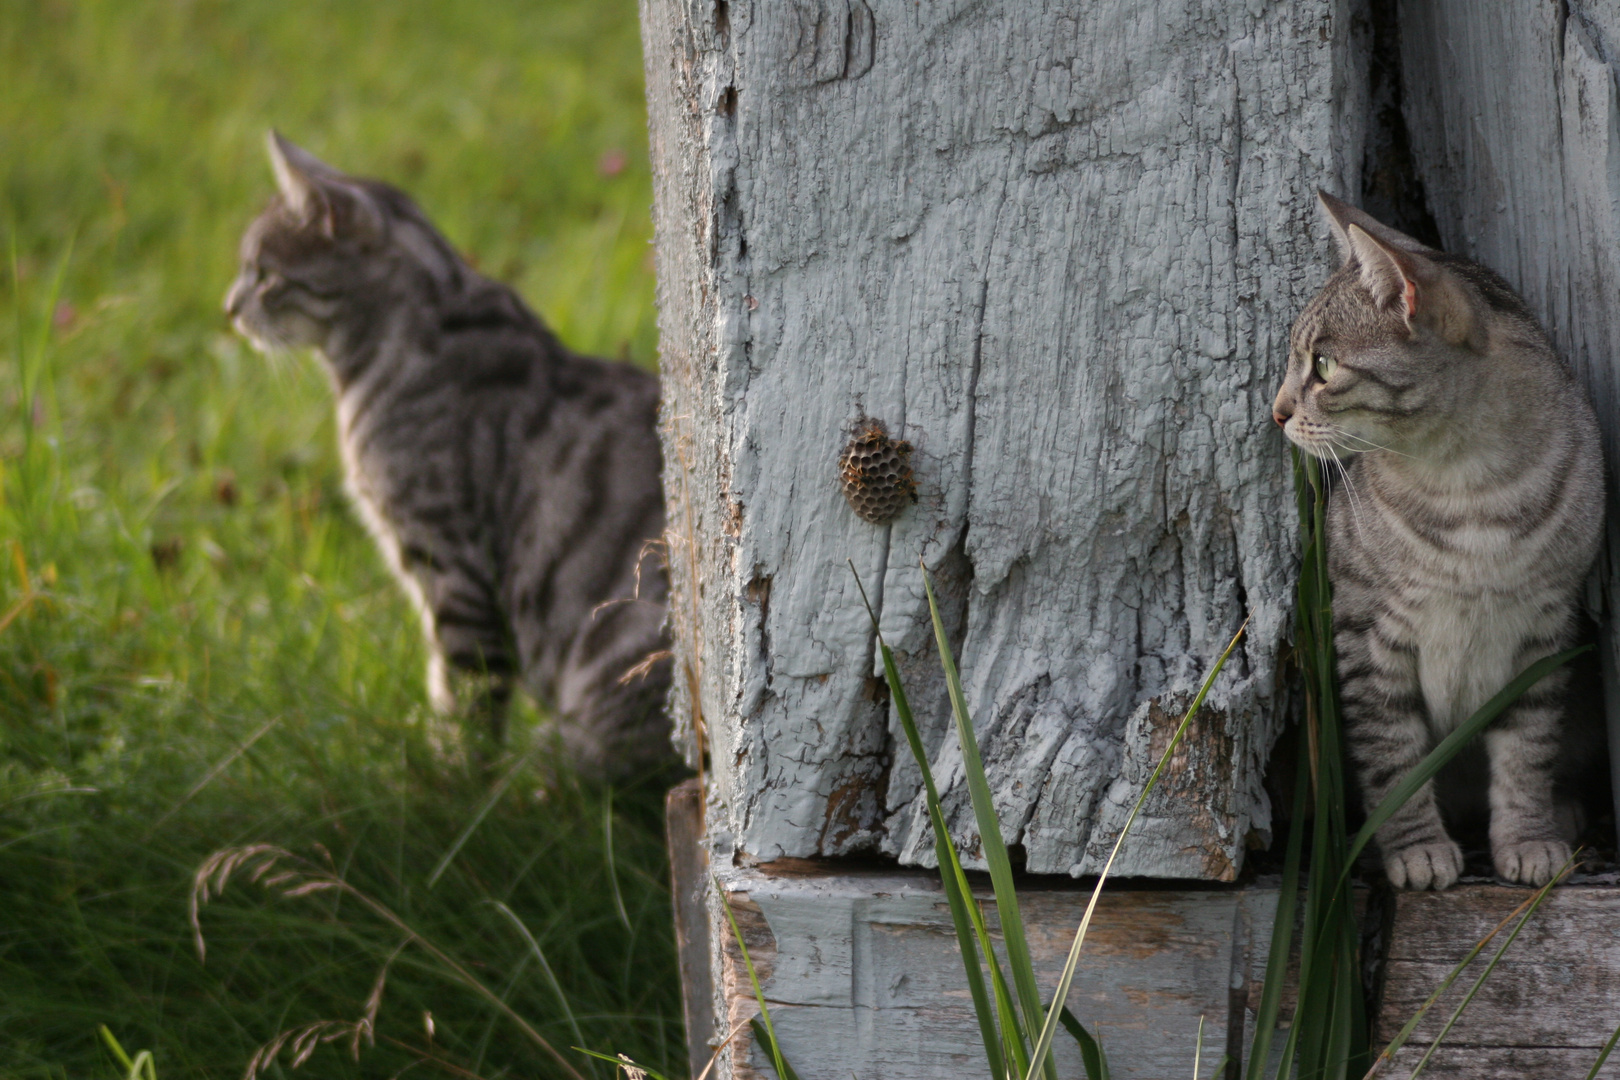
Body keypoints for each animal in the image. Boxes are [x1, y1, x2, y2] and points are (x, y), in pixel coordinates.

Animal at [225, 132, 667, 777]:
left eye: (263, 273)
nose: (230, 309)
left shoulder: (451, 567)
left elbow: (462, 694)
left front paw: (451, 781)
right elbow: (449, 691)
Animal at [1276, 190, 1607, 893]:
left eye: (1323, 365)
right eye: (1295, 362)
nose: (1276, 411)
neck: (1468, 485)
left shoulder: (1544, 632)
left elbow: (1526, 750)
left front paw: (1528, 838)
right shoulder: (1365, 633)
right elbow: (1392, 758)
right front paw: (1416, 849)